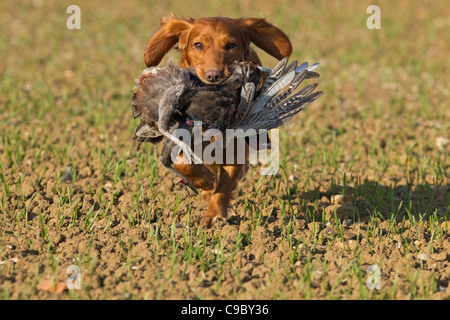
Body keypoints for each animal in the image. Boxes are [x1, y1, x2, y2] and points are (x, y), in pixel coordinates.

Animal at [143, 13, 292, 226]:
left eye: (230, 45)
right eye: (198, 45)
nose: (214, 75)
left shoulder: (235, 151)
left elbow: (223, 186)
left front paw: (214, 215)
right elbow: (182, 162)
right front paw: (204, 180)